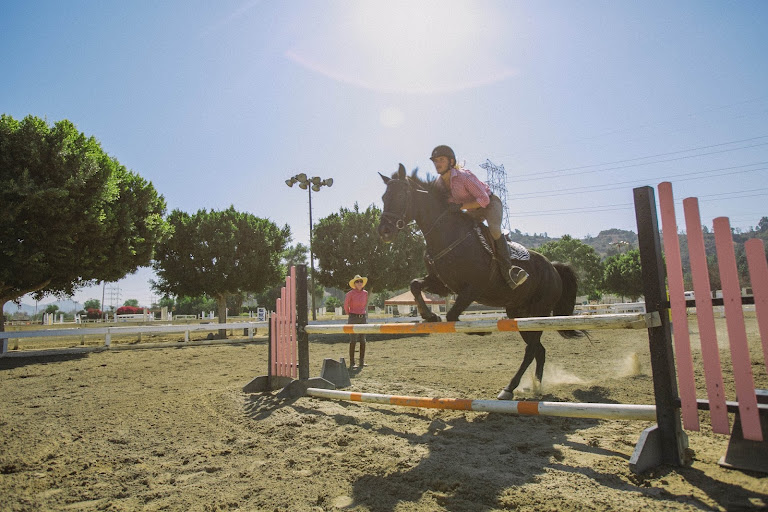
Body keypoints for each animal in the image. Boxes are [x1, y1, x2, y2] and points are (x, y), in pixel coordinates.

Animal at [377, 164, 585, 400]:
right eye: (384, 197)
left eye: (401, 196)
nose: (384, 231)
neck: (446, 234)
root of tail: (553, 268)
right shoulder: (442, 284)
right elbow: (415, 285)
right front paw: (429, 315)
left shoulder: (473, 288)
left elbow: (452, 315)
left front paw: (481, 330)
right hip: (519, 313)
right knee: (539, 350)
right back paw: (536, 387)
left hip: (537, 313)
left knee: (531, 350)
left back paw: (509, 388)